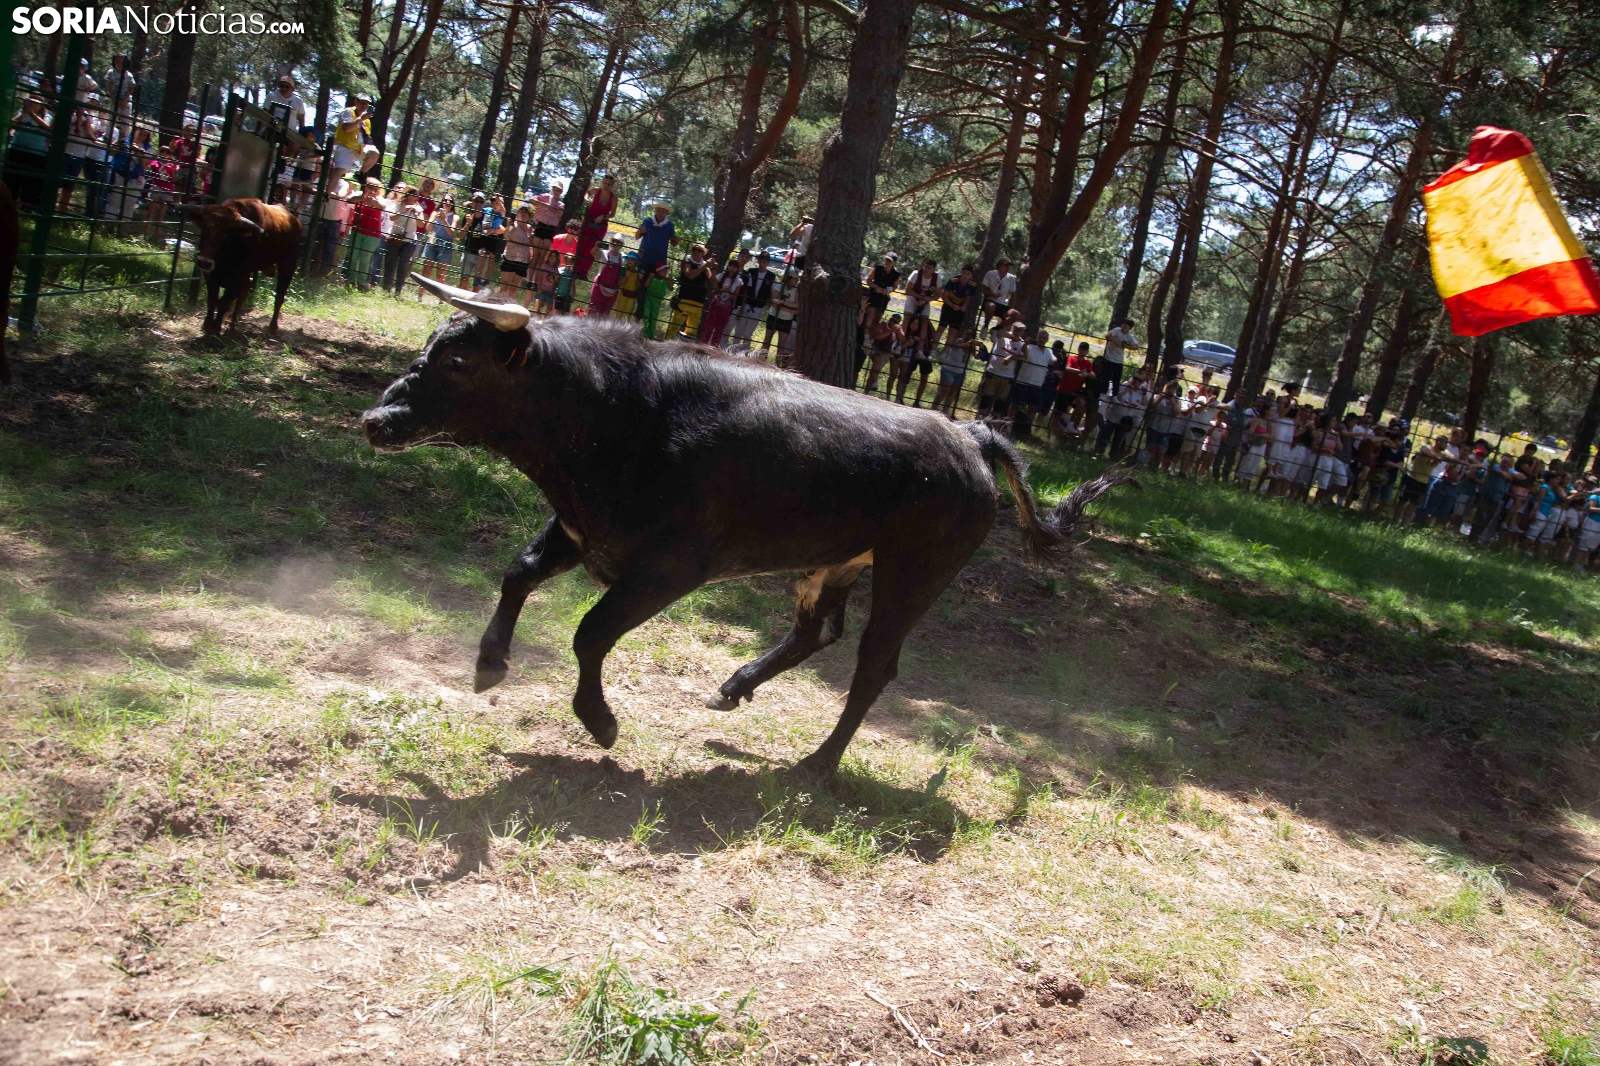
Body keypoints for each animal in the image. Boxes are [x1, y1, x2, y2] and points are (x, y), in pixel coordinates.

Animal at [191, 198, 300, 335]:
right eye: (205, 228)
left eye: (227, 234)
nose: (204, 262)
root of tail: (294, 220)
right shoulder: (211, 275)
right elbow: (213, 300)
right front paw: (207, 325)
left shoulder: (238, 278)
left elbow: (224, 301)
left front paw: (216, 327)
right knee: (243, 295)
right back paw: (232, 322)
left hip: (288, 265)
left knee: (279, 296)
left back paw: (272, 326)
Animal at [361, 274, 1132, 781]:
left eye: (459, 361)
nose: (376, 419)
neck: (625, 410)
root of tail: (970, 433)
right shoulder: (582, 531)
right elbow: (518, 573)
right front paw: (490, 663)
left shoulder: (668, 569)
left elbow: (589, 632)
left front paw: (601, 721)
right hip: (835, 561)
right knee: (818, 632)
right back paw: (735, 688)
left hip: (913, 575)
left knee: (873, 664)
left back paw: (817, 763)